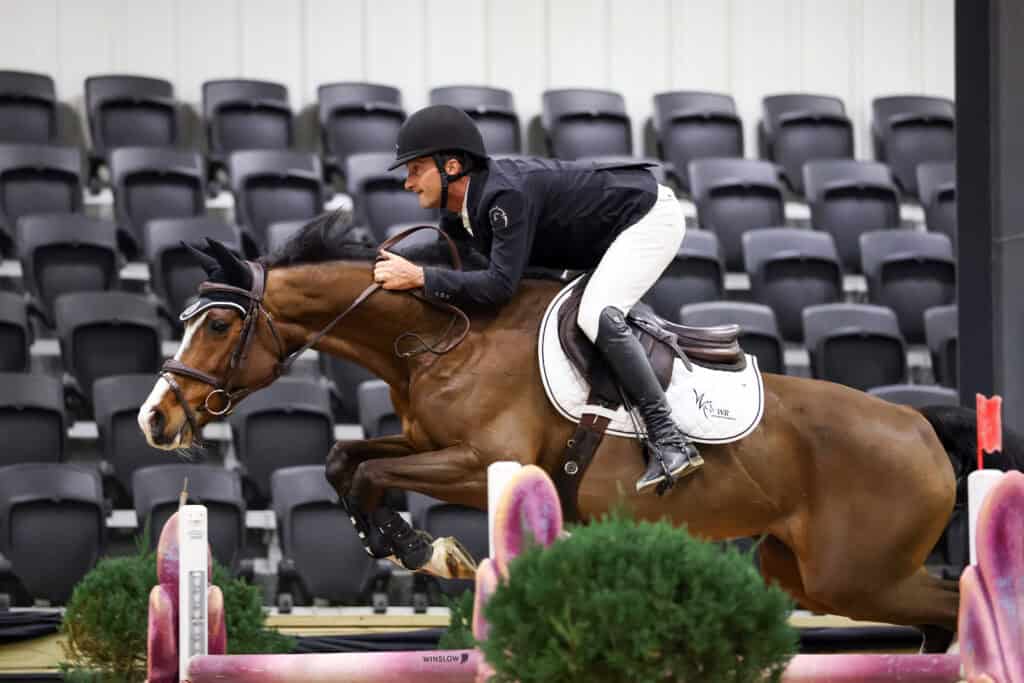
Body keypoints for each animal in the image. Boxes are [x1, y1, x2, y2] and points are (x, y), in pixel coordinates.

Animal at [137, 214, 1020, 653]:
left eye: (218, 323)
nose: (155, 416)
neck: (444, 336)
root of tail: (916, 421)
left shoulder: (481, 463)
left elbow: (370, 471)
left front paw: (430, 551)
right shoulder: (425, 443)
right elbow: (344, 460)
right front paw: (406, 543)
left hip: (857, 574)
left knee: (953, 601)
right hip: (802, 569)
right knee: (937, 613)